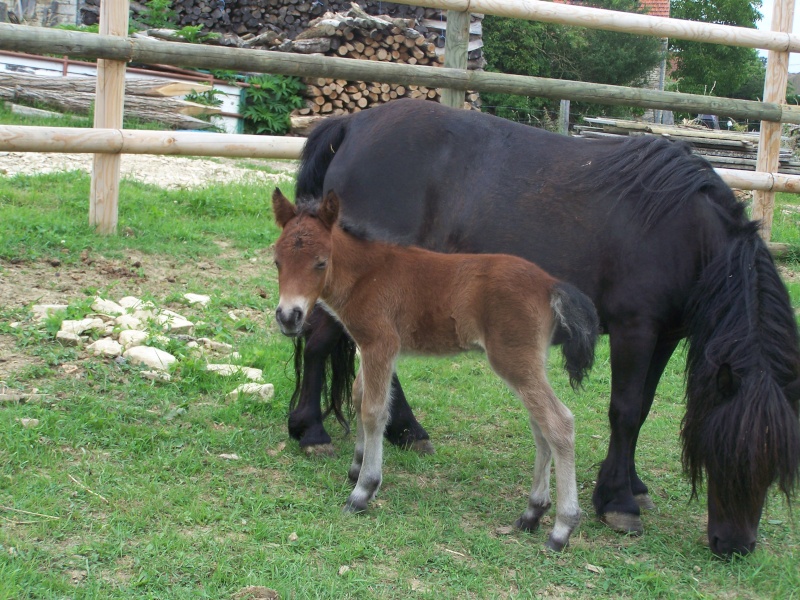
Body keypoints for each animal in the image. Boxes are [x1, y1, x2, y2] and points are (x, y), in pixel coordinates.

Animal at [284, 99, 796, 556]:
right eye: (729, 453)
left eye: (774, 467)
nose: (736, 546)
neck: (681, 227)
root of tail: (353, 123)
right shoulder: (635, 329)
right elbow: (626, 411)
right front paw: (618, 502)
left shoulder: (665, 335)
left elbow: (644, 407)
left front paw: (630, 485)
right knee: (318, 342)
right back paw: (312, 432)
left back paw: (407, 432)